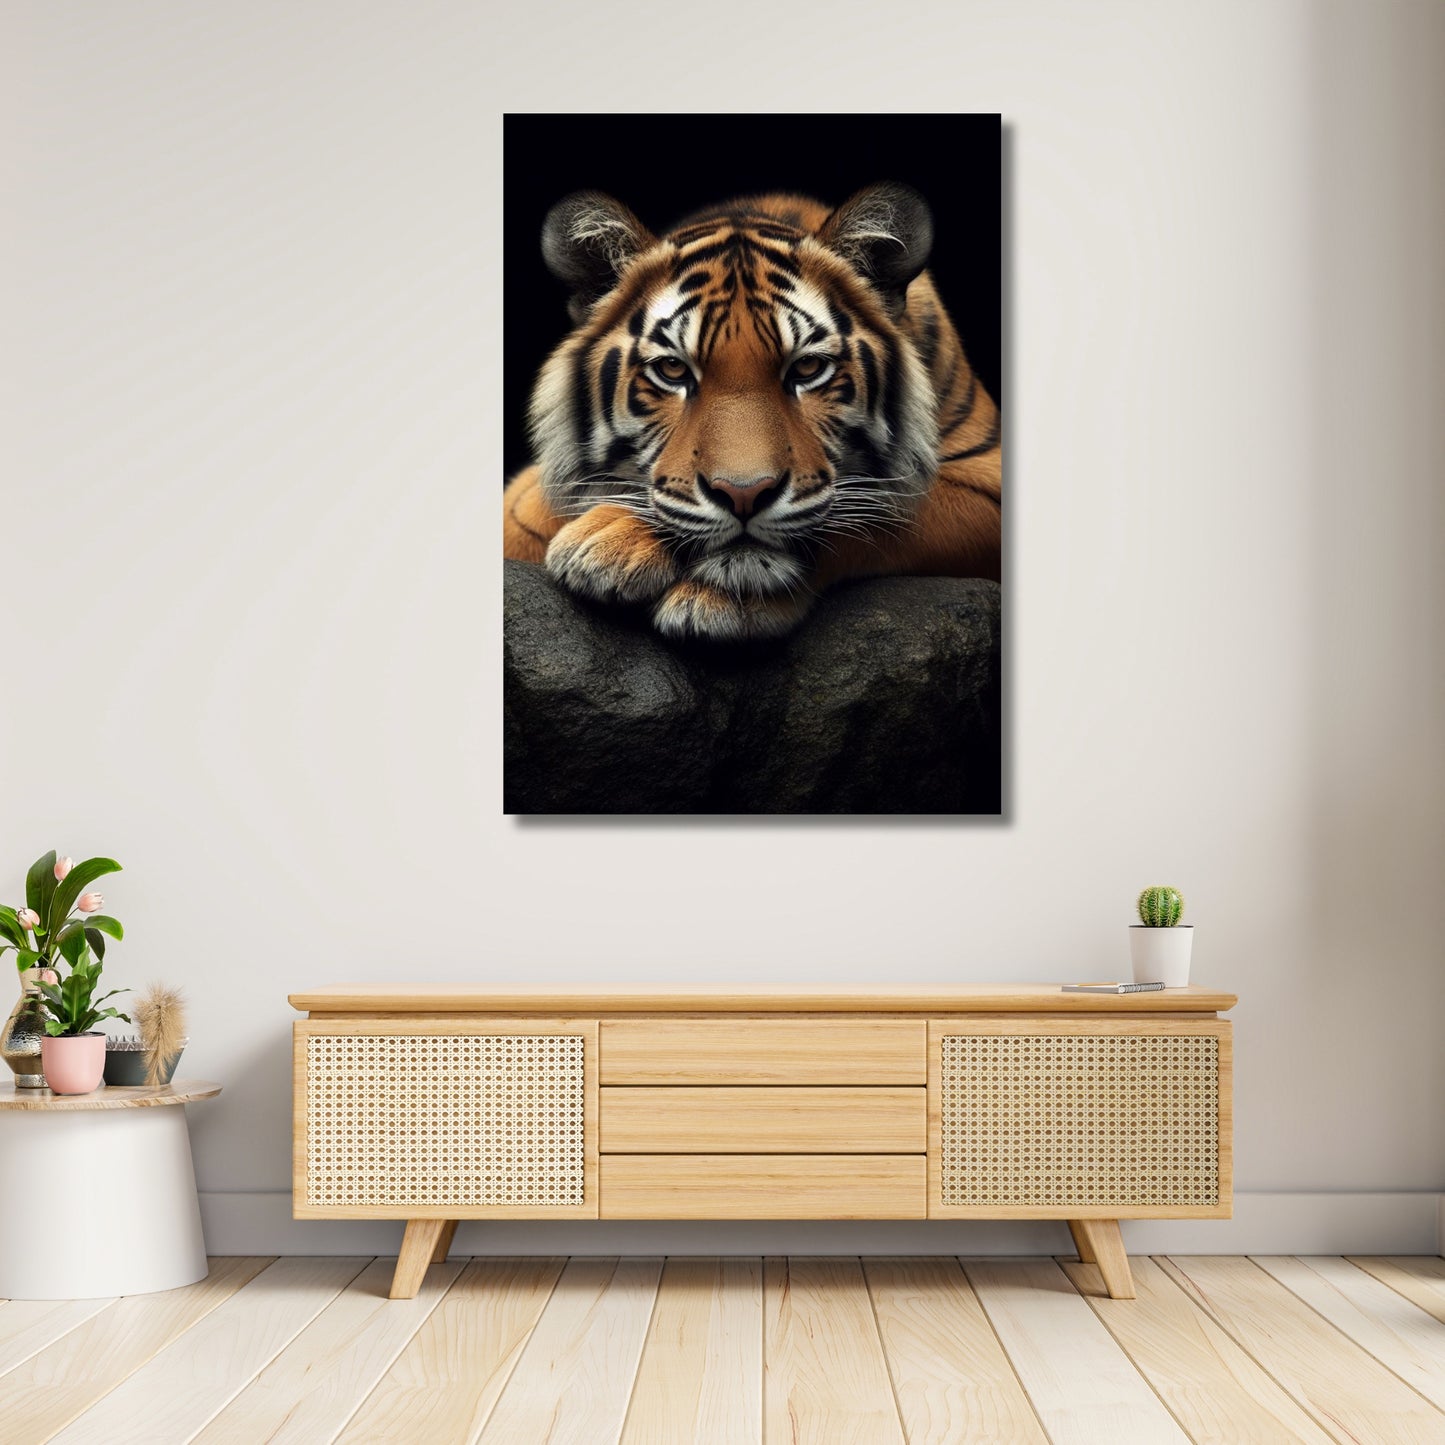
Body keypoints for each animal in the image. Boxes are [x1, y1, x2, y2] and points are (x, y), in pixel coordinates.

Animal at [502, 182, 1000, 641]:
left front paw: (612, 541)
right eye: (672, 370)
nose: (744, 494)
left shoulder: (984, 482)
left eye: (808, 368)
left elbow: (880, 514)